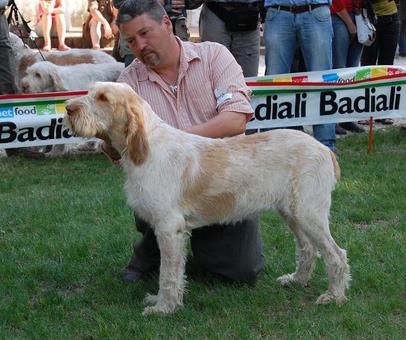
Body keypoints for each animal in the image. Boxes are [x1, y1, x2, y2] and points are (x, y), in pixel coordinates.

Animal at [65, 82, 350, 316]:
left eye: (103, 98)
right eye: (90, 92)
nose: (68, 108)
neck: (146, 148)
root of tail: (324, 149)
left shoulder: (168, 227)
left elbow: (167, 274)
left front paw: (163, 308)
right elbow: (175, 271)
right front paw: (162, 301)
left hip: (308, 213)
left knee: (336, 254)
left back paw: (334, 296)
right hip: (292, 213)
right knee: (308, 249)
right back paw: (296, 280)